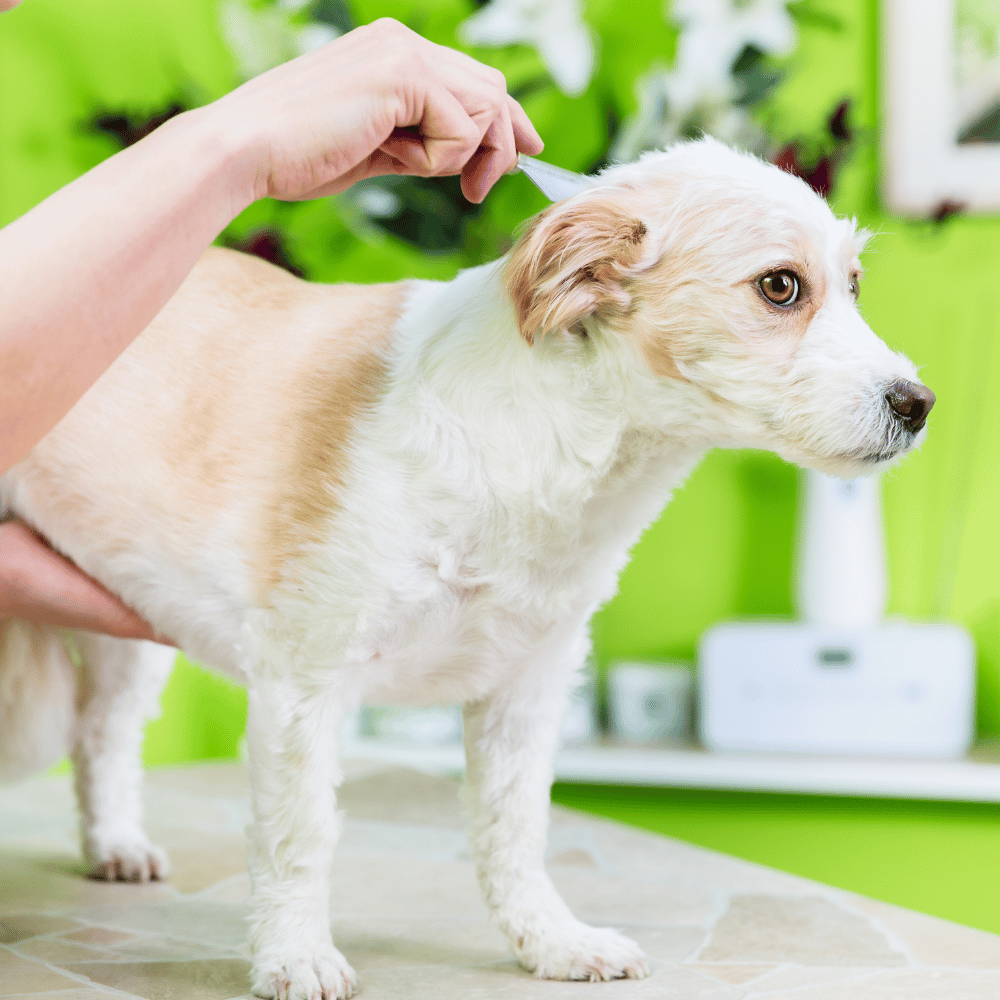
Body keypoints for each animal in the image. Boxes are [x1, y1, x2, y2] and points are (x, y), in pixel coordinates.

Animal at [0, 141, 928, 1000]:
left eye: (853, 285)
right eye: (780, 287)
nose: (917, 404)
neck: (543, 449)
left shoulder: (527, 686)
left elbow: (513, 831)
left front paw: (549, 941)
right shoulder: (305, 680)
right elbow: (301, 835)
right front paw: (294, 954)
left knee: (103, 733)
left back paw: (114, 842)